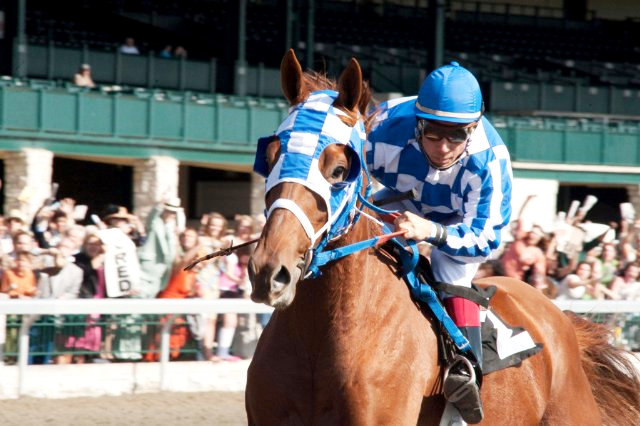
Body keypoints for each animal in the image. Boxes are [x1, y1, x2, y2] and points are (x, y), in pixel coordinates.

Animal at [245, 49, 640, 422]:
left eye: (339, 170)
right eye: (271, 156)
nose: (269, 271)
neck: (321, 337)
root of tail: (563, 322)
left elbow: (482, 231)